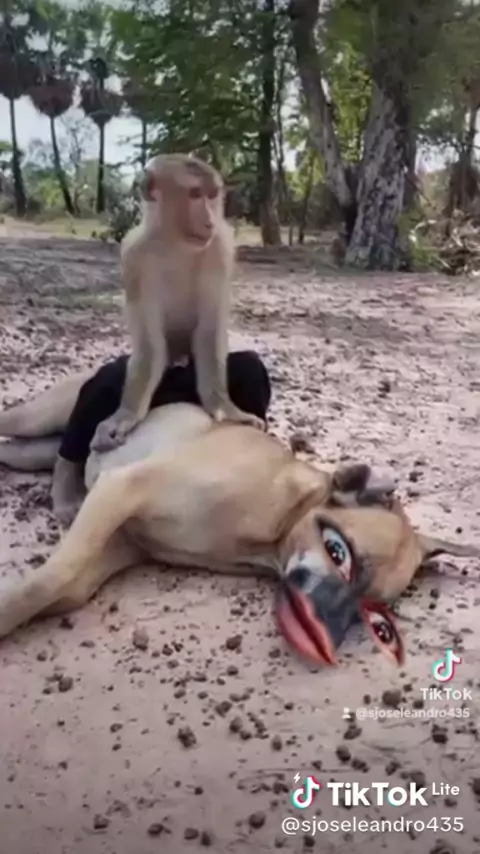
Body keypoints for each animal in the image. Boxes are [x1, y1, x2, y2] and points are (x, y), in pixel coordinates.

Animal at [90, 153, 265, 453]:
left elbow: (209, 332)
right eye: (195, 194)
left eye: (211, 195)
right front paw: (126, 416)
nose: (209, 220)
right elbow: (150, 347)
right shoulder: (134, 257)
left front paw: (226, 409)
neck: (176, 243)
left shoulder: (220, 248)